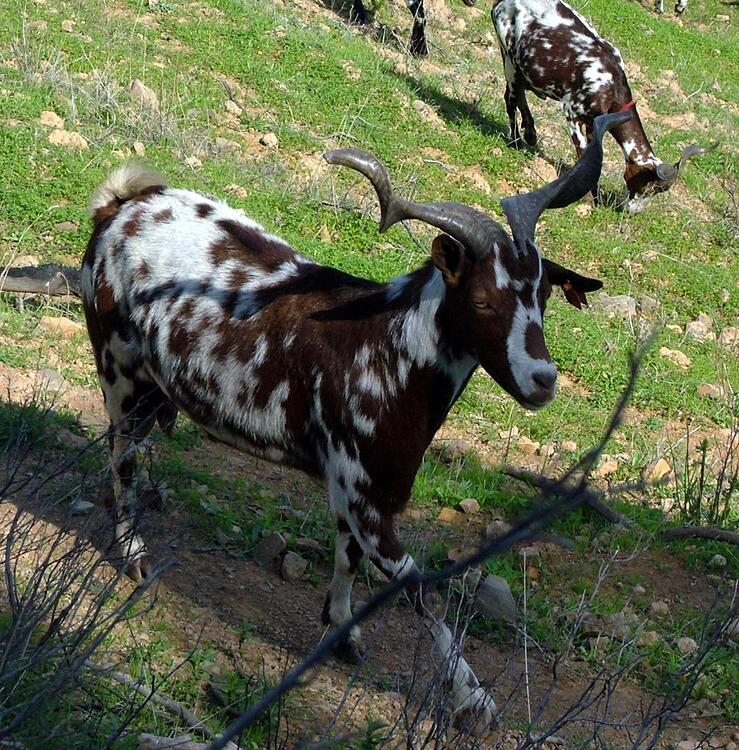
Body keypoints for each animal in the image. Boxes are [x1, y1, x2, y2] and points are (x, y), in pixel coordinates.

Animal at [81, 111, 628, 728]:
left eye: (544, 296)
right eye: (483, 301)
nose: (542, 379)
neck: (389, 348)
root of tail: (120, 204)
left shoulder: (360, 490)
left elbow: (347, 556)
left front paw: (341, 631)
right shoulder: (366, 496)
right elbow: (417, 587)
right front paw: (474, 698)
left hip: (152, 386)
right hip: (119, 372)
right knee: (121, 454)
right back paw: (134, 555)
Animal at [492, 0, 712, 213]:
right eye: (649, 187)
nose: (632, 212)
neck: (611, 85)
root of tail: (500, 4)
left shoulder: (593, 122)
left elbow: (594, 158)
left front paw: (596, 196)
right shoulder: (571, 112)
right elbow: (582, 154)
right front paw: (588, 199)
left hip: (521, 68)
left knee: (518, 95)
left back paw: (530, 134)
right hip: (509, 59)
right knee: (510, 98)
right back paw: (517, 141)